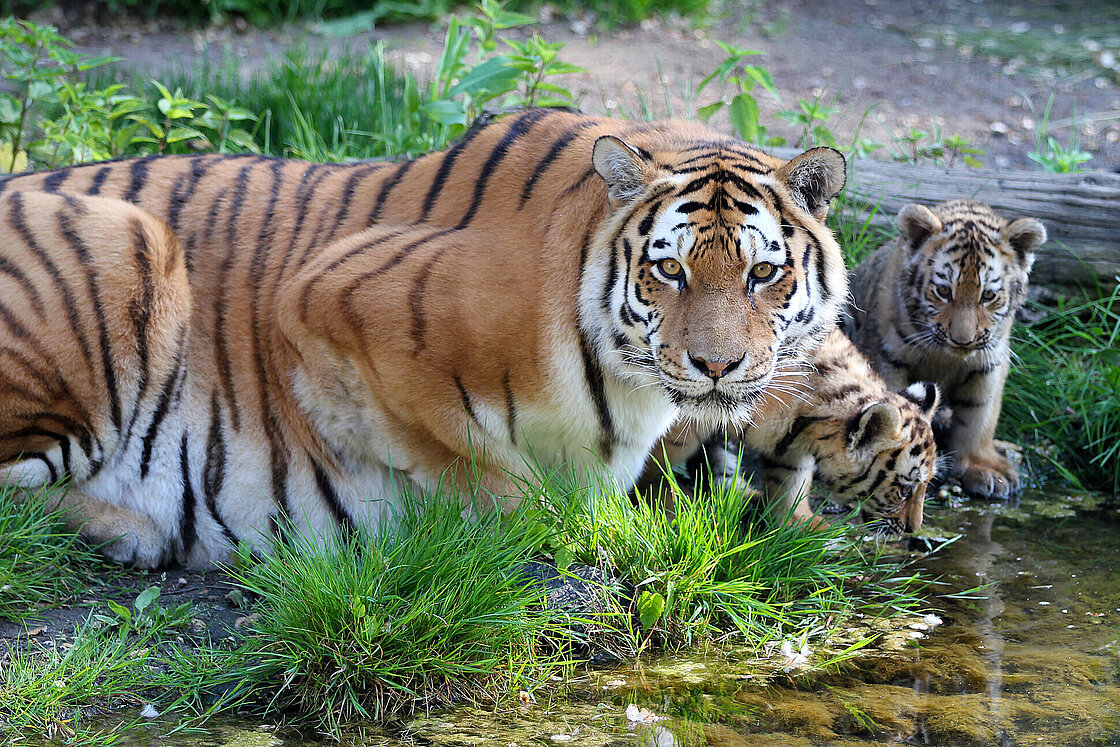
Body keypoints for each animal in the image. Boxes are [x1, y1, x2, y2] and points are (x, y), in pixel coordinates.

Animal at [0, 108, 850, 568]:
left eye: (762, 273)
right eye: (669, 270)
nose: (717, 365)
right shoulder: (326, 298)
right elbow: (484, 467)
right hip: (127, 239)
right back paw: (135, 527)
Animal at [647, 328, 940, 535]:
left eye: (926, 485)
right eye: (904, 490)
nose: (913, 528)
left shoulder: (790, 448)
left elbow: (790, 484)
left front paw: (799, 524)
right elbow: (657, 464)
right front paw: (663, 509)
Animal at [846, 199, 1046, 499]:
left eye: (988, 295)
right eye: (942, 291)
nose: (963, 340)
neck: (946, 356)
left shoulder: (989, 363)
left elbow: (979, 417)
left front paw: (982, 467)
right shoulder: (887, 355)